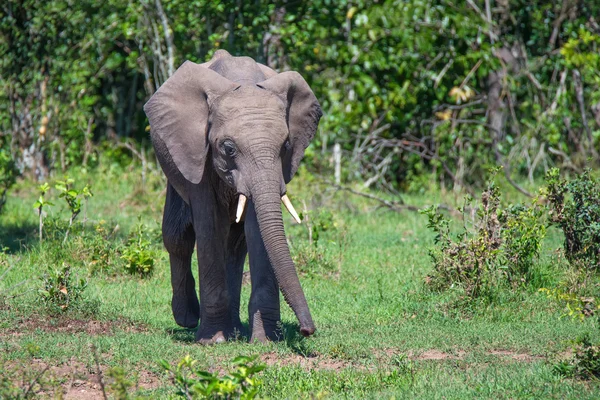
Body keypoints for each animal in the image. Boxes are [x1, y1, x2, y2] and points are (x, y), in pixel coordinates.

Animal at [144, 50, 324, 344]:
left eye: (286, 145)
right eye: (228, 148)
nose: (307, 330)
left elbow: (256, 228)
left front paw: (266, 340)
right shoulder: (197, 149)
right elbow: (208, 224)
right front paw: (213, 340)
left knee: (235, 245)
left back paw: (236, 332)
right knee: (177, 235)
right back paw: (189, 319)